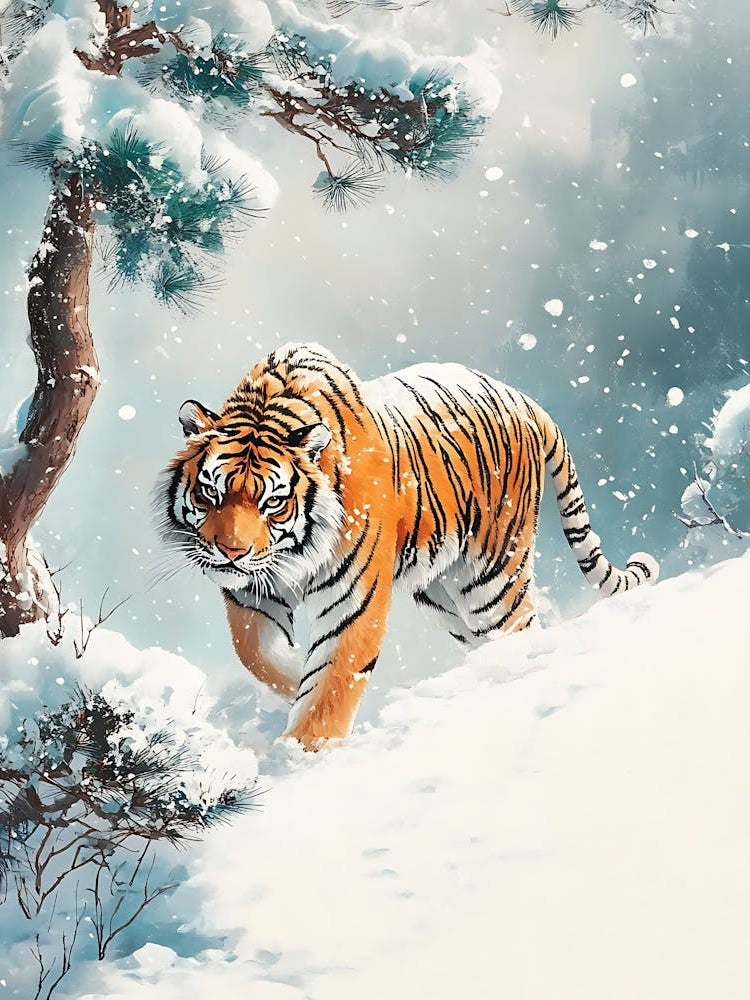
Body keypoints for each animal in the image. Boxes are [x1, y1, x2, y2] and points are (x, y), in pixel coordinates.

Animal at [156, 343, 658, 750]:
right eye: (210, 492)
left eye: (273, 503)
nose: (231, 553)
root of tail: (524, 400)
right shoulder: (252, 594)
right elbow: (258, 655)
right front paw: (295, 682)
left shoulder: (352, 599)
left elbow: (332, 681)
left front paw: (303, 752)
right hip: (442, 592)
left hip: (493, 578)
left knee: (520, 628)